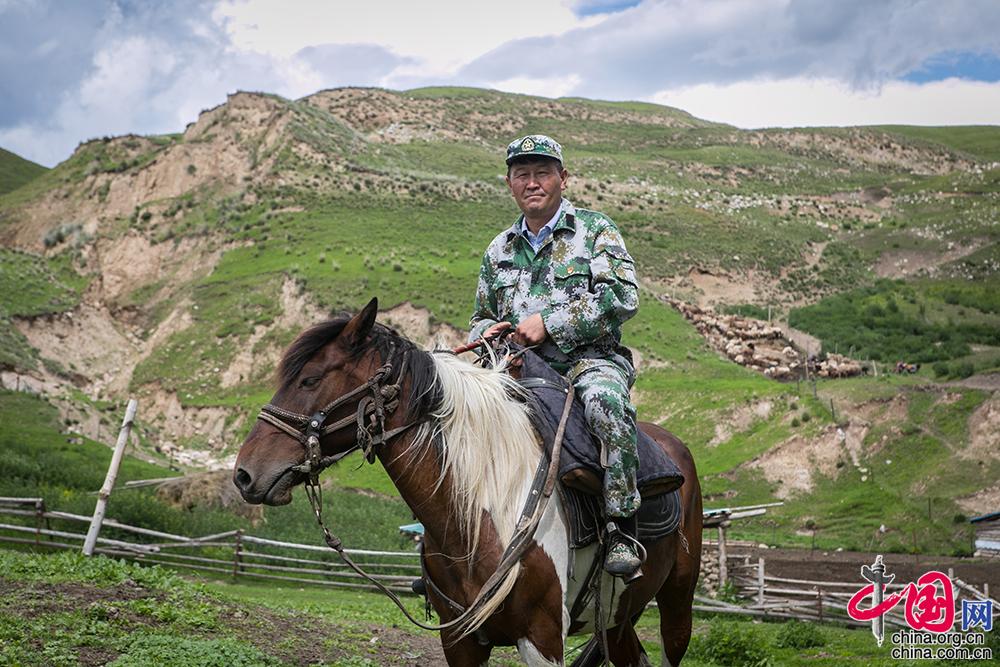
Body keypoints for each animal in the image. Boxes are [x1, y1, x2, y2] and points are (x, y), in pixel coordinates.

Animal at [234, 298, 702, 666]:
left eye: (310, 379)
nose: (244, 474)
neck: (480, 511)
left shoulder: (543, 639)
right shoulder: (458, 642)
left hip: (678, 605)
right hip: (619, 618)